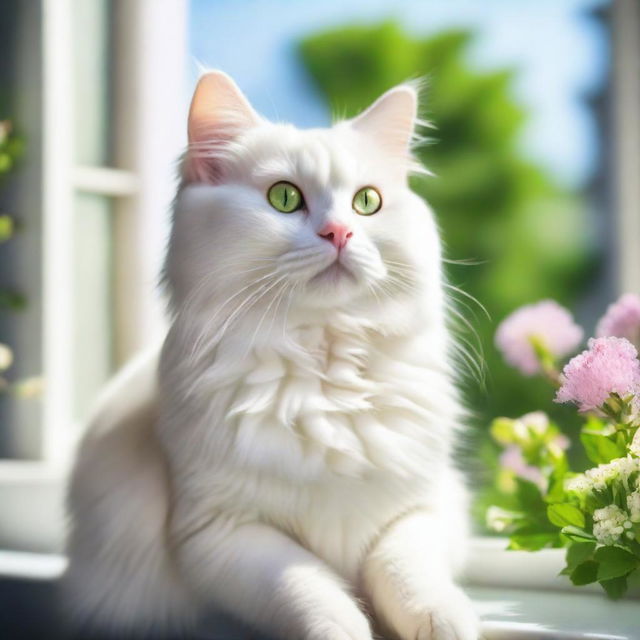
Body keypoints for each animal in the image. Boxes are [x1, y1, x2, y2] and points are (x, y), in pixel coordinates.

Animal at [63, 71, 480, 640]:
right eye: (284, 198)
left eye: (367, 203)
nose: (340, 232)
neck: (323, 364)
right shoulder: (220, 533)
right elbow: (313, 595)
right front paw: (348, 627)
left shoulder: (429, 506)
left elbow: (406, 571)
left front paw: (444, 620)